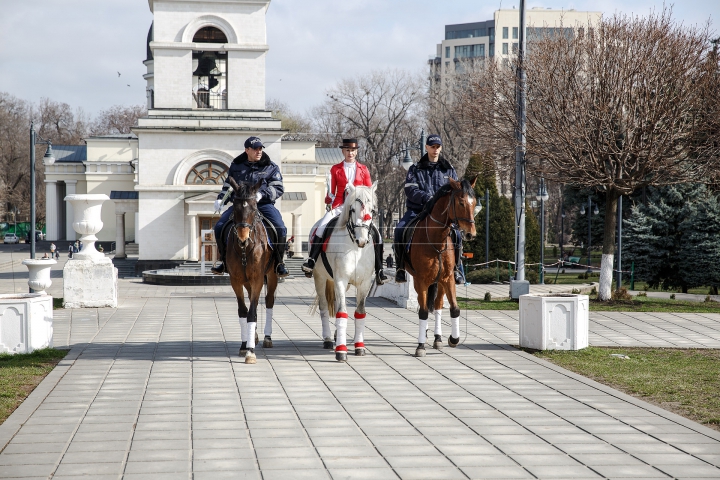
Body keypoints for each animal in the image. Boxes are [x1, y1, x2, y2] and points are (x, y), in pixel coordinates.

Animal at [228, 177, 278, 364]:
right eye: (234, 207)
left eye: (254, 208)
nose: (243, 238)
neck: (245, 248)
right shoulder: (235, 280)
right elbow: (244, 311)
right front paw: (245, 345)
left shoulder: (257, 279)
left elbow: (252, 313)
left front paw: (250, 352)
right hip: (247, 281)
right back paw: (254, 337)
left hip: (272, 275)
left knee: (269, 301)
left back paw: (267, 338)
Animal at [310, 183, 376, 360]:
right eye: (352, 209)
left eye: (372, 210)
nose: (362, 241)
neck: (356, 248)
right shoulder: (340, 279)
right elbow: (342, 312)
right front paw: (341, 350)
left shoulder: (365, 283)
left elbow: (360, 312)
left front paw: (359, 346)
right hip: (320, 278)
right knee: (324, 308)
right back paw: (328, 339)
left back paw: (335, 335)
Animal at [404, 176, 478, 356]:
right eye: (461, 203)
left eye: (474, 203)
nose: (470, 234)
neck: (436, 241)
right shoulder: (421, 280)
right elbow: (423, 312)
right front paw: (420, 346)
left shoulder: (448, 278)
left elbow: (454, 308)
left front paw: (454, 339)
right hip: (419, 282)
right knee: (423, 305)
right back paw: (424, 335)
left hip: (440, 283)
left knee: (437, 306)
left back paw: (437, 338)